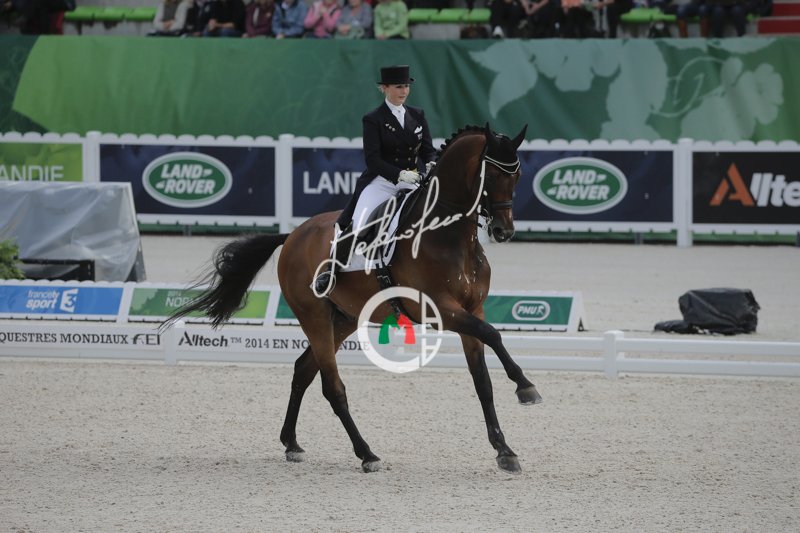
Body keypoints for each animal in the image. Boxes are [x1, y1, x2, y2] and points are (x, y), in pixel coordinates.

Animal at [164, 124, 543, 473]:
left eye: (517, 175)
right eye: (491, 174)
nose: (504, 231)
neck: (447, 235)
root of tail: (294, 235)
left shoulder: (471, 309)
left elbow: (482, 380)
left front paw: (504, 450)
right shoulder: (442, 309)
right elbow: (493, 334)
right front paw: (526, 387)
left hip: (343, 318)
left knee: (304, 370)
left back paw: (292, 443)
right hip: (315, 317)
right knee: (332, 387)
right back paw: (366, 453)